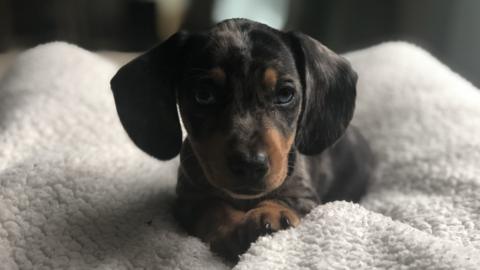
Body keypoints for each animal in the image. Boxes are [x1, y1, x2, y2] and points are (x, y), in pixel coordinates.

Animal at [109, 18, 376, 262]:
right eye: (203, 95)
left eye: (285, 94)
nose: (250, 165)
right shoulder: (188, 200)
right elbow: (212, 209)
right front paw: (230, 231)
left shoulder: (306, 196)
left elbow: (287, 199)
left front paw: (272, 214)